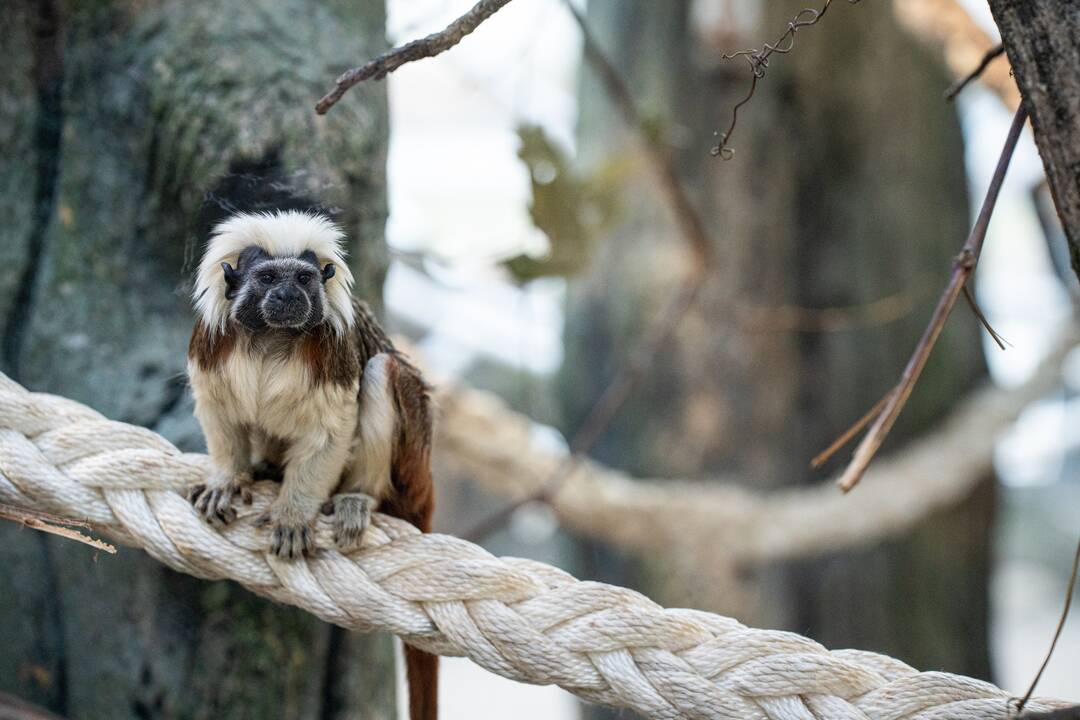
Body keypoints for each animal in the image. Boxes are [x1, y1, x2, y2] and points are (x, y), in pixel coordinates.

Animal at [185, 208, 438, 720]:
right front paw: (226, 479)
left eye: (303, 279)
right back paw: (264, 470)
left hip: (410, 466)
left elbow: (330, 431)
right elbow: (220, 411)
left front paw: (293, 515)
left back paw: (356, 500)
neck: (270, 340)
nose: (287, 296)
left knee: (383, 371)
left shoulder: (332, 354)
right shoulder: (212, 344)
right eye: (267, 279)